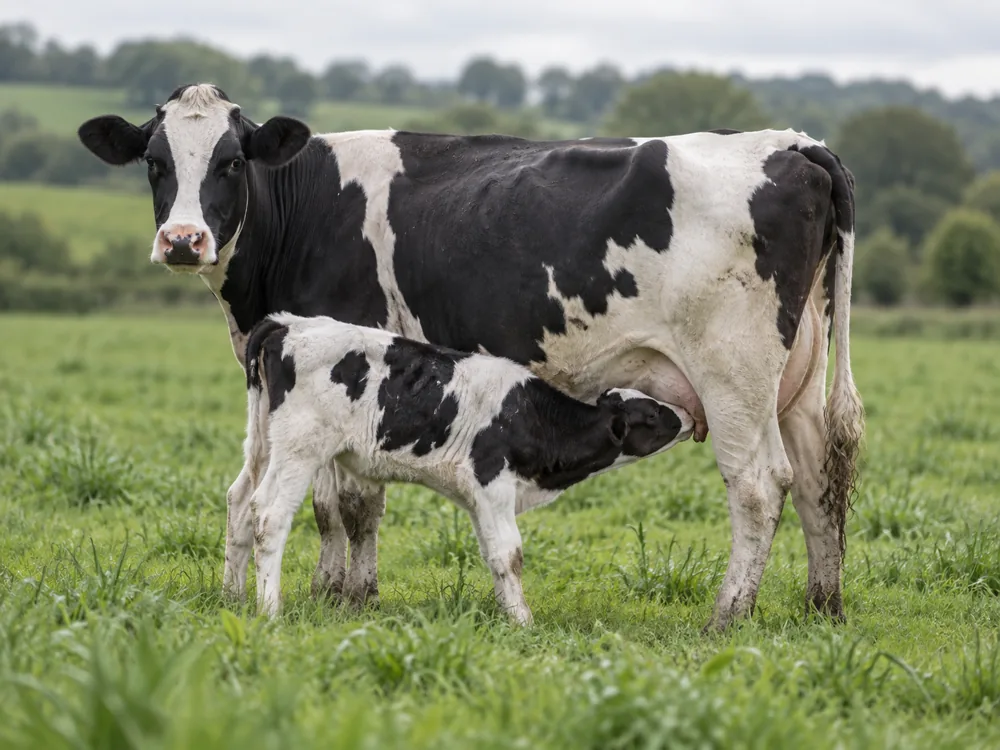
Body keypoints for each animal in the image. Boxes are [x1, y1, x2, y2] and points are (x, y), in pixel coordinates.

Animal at [240, 312, 694, 623]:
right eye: (653, 414)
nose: (688, 414)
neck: (530, 418)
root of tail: (289, 324)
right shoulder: (493, 483)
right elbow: (510, 553)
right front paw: (524, 621)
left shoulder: (478, 498)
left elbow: (493, 555)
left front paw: (507, 613)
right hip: (300, 449)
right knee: (270, 515)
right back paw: (270, 610)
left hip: (267, 443)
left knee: (245, 503)